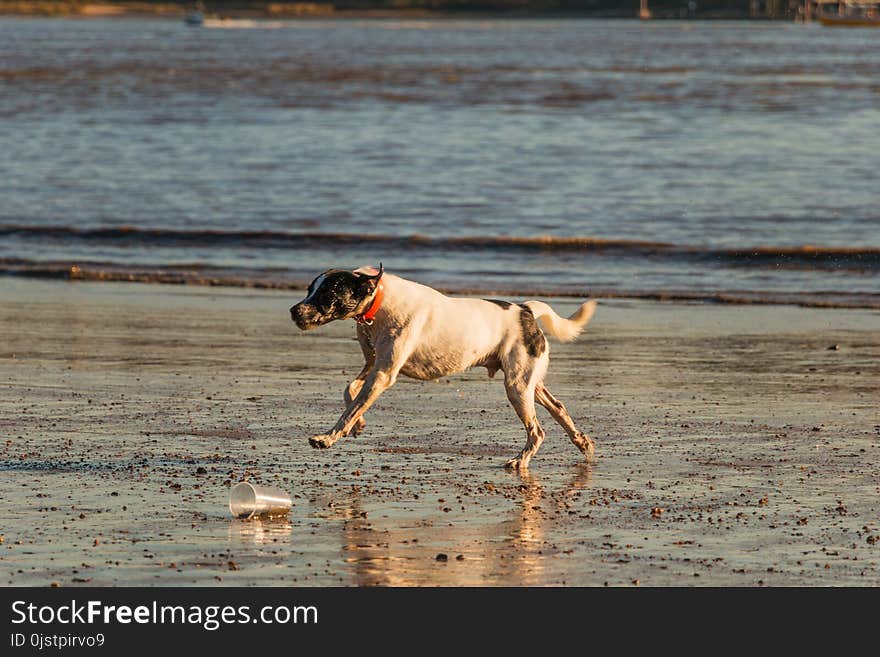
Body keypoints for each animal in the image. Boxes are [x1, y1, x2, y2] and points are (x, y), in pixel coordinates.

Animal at [288, 264, 600, 468]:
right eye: (309, 290)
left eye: (327, 295)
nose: (293, 311)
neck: (378, 300)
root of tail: (526, 310)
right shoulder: (374, 366)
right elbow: (350, 392)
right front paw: (359, 424)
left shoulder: (384, 374)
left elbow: (349, 410)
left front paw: (328, 438)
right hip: (529, 384)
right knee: (558, 407)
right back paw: (582, 442)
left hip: (517, 386)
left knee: (537, 430)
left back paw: (520, 461)